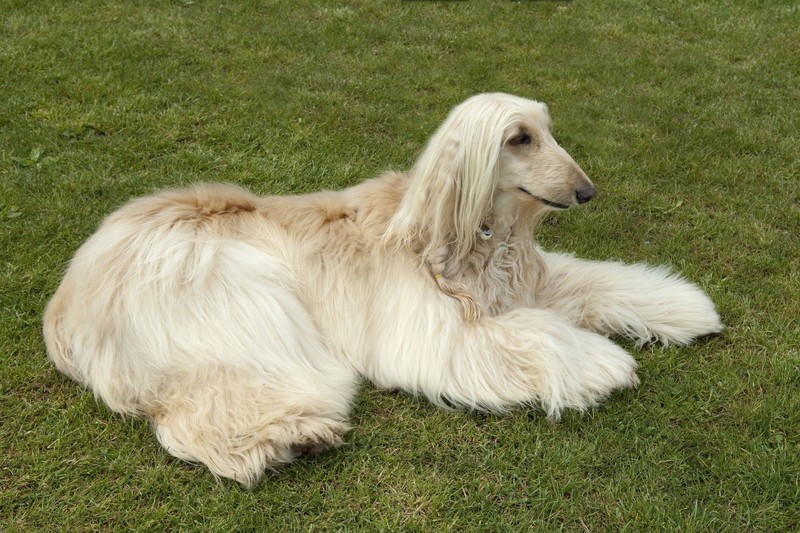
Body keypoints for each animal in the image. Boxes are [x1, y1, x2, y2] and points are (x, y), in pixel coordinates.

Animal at [42, 93, 720, 484]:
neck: (470, 237)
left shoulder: (523, 285)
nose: (586, 191)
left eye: (548, 133)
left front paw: (684, 307)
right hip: (231, 293)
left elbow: (596, 282)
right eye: (518, 138)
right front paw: (604, 362)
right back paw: (289, 435)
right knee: (210, 398)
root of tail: (69, 293)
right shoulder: (429, 329)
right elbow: (532, 337)